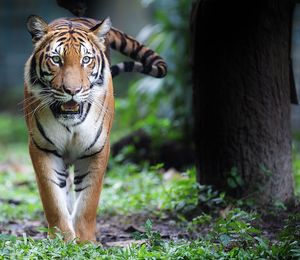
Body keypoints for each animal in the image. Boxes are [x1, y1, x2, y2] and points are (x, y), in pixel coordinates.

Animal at [24, 15, 166, 243]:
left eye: (86, 59)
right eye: (56, 59)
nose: (72, 90)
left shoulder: (97, 149)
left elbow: (88, 201)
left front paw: (84, 242)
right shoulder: (42, 148)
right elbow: (52, 198)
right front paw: (62, 239)